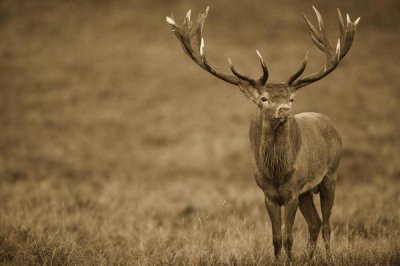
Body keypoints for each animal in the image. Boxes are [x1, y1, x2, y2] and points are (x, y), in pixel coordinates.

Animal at [166, 6, 360, 262]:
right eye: (264, 98)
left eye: (291, 98)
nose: (285, 110)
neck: (277, 172)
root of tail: (331, 125)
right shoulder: (268, 194)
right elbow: (276, 238)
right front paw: (280, 261)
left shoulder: (292, 191)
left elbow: (288, 237)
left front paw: (290, 262)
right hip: (307, 191)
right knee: (315, 223)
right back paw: (309, 259)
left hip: (331, 175)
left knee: (327, 224)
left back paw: (328, 258)